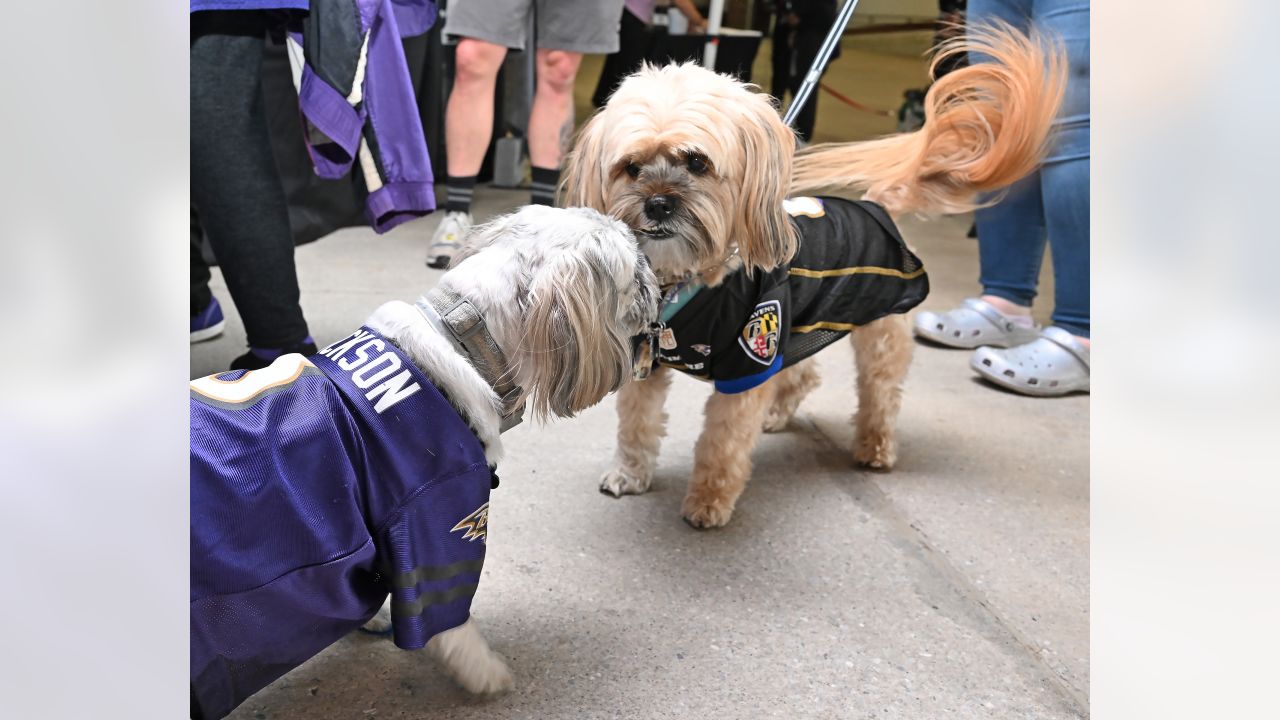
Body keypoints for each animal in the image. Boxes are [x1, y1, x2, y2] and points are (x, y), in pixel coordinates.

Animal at [565, 25, 1064, 525]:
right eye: (631, 167)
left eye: (696, 162)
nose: (657, 204)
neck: (690, 281)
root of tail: (876, 205)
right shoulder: (650, 366)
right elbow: (637, 425)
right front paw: (630, 473)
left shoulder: (749, 362)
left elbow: (722, 445)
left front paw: (708, 501)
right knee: (804, 377)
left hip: (878, 340)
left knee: (881, 395)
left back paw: (875, 448)